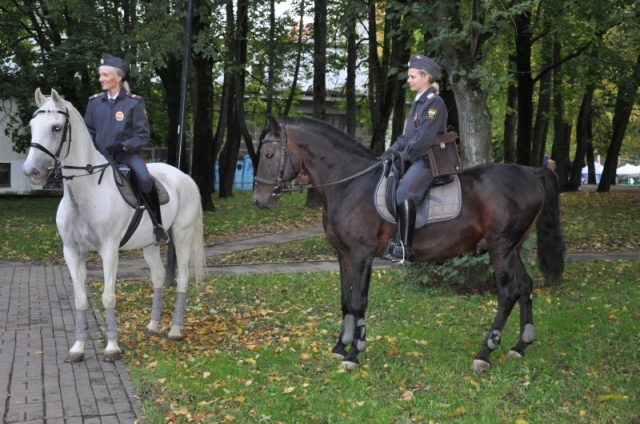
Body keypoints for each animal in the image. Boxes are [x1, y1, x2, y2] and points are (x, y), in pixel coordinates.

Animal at [22, 88, 205, 362]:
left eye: (56, 127)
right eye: (32, 126)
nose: (30, 171)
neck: (85, 192)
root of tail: (184, 176)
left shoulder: (108, 251)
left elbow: (108, 297)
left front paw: (112, 347)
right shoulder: (72, 251)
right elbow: (80, 298)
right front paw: (78, 348)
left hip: (182, 237)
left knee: (182, 278)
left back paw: (174, 330)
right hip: (150, 244)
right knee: (158, 276)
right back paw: (153, 326)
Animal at [252, 115, 564, 372]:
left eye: (268, 154)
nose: (258, 201)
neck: (350, 185)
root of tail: (530, 172)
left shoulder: (362, 253)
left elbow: (358, 300)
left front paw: (354, 353)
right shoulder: (343, 254)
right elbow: (345, 300)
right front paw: (340, 347)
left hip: (500, 248)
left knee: (508, 292)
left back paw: (484, 353)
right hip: (513, 248)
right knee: (525, 286)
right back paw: (520, 346)